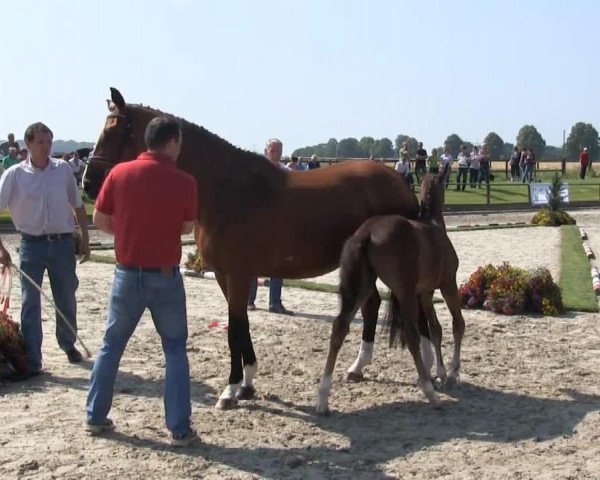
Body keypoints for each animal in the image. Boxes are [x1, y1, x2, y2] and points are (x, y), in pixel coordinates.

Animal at [84, 87, 420, 408]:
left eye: (114, 131)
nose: (88, 183)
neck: (225, 190)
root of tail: (399, 182)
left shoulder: (237, 275)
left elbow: (234, 329)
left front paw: (230, 390)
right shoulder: (225, 275)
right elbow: (241, 326)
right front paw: (246, 383)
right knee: (371, 304)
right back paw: (358, 367)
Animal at [316, 165, 466, 412]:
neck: (433, 227)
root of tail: (366, 233)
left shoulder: (425, 293)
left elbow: (435, 329)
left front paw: (441, 373)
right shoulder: (447, 284)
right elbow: (456, 325)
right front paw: (451, 374)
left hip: (363, 287)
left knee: (339, 327)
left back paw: (322, 398)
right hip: (404, 292)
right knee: (411, 334)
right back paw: (430, 394)